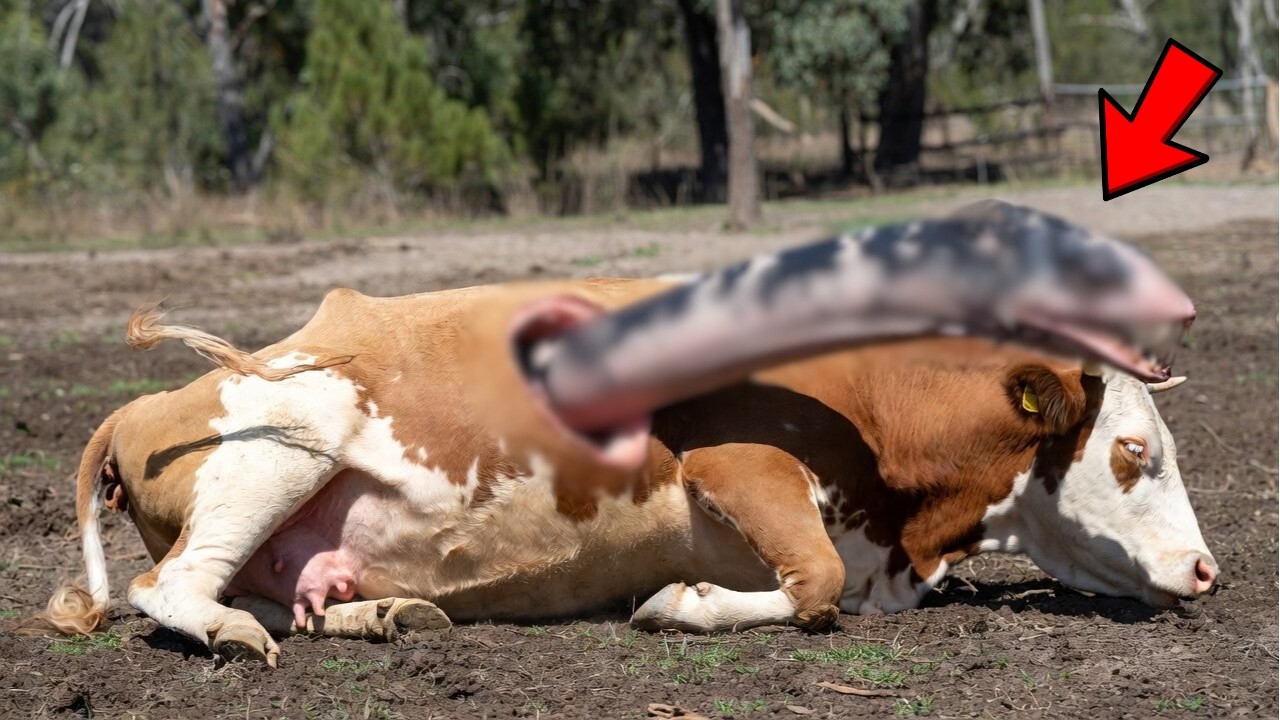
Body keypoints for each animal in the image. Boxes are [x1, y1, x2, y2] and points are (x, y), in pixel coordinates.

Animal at [37, 202, 1212, 667]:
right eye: (1132, 452)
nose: (1206, 571)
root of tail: (140, 405)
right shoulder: (738, 464)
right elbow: (814, 584)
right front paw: (678, 602)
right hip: (288, 437)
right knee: (170, 590)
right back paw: (239, 634)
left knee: (280, 591)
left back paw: (381, 614)